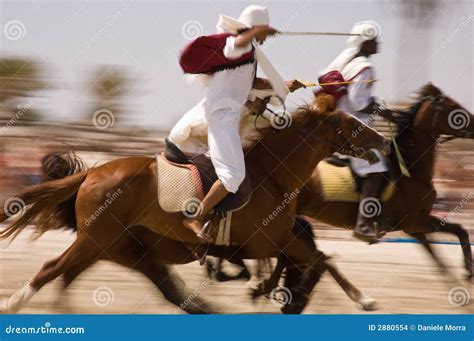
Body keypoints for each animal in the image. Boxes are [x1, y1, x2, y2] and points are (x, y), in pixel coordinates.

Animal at [0, 93, 388, 314]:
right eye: (351, 123)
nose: (383, 140)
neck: (272, 174)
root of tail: (93, 171)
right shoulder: (268, 240)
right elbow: (315, 260)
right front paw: (361, 298)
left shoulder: (278, 239)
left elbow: (319, 259)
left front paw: (362, 298)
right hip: (96, 238)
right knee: (53, 268)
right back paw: (15, 303)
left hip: (109, 245)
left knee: (70, 276)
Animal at [252, 82, 474, 298]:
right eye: (454, 107)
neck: (411, 168)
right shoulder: (415, 221)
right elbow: (459, 231)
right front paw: (468, 272)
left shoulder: (414, 227)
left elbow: (445, 254)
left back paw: (267, 286)